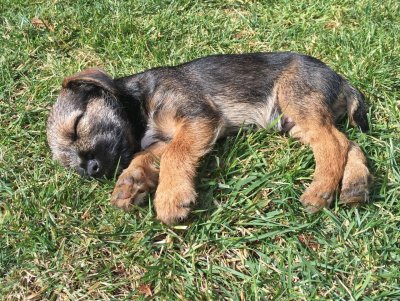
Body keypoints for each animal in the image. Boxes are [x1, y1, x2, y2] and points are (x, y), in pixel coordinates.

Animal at [47, 52, 372, 224]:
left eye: (77, 125)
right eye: (70, 165)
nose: (91, 170)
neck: (140, 99)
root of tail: (340, 78)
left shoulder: (196, 118)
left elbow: (176, 154)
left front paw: (170, 197)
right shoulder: (161, 140)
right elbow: (145, 155)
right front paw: (132, 182)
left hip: (297, 102)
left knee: (333, 144)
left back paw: (320, 191)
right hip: (294, 123)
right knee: (347, 143)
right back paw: (356, 184)